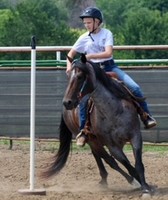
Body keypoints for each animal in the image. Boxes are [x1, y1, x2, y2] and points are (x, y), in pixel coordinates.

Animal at [44, 54, 153, 196]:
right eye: (68, 77)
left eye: (80, 76)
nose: (67, 102)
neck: (113, 110)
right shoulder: (112, 146)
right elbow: (126, 165)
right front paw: (138, 183)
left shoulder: (135, 136)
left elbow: (138, 164)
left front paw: (146, 187)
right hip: (93, 141)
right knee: (109, 161)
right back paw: (124, 180)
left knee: (101, 157)